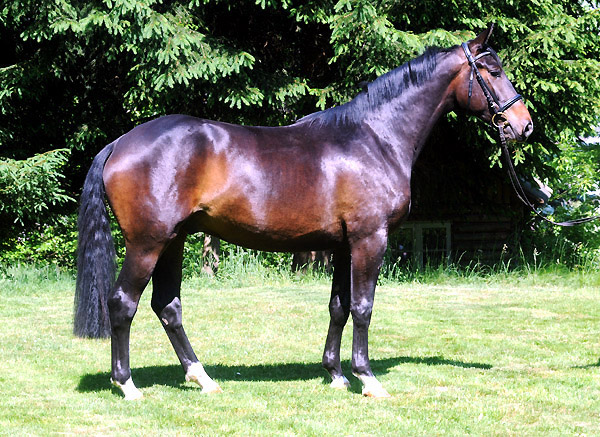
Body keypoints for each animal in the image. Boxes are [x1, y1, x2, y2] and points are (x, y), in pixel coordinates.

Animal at [74, 24, 528, 398]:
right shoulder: (369, 240)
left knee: (168, 307)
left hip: (173, 240)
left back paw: (202, 378)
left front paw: (336, 374)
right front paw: (367, 379)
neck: (374, 138)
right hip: (147, 243)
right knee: (123, 303)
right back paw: (128, 385)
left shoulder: (343, 245)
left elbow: (339, 307)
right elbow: (362, 307)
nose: (523, 125)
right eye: (491, 70)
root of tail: (119, 143)